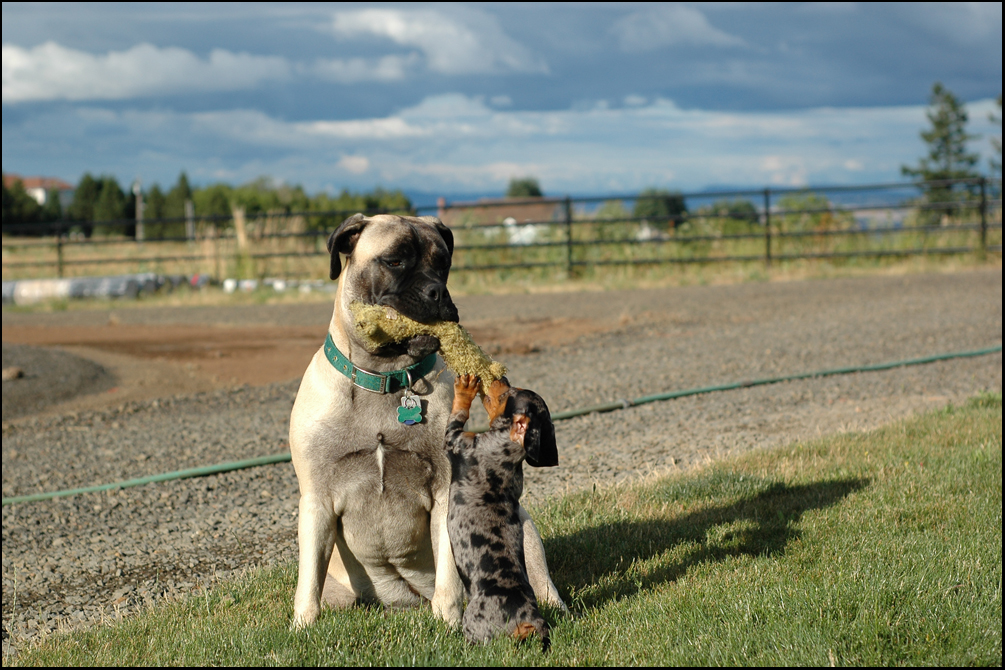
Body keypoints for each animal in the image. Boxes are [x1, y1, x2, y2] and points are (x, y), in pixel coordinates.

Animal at [446, 371, 558, 650]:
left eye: (508, 393)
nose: (503, 377)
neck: (508, 449)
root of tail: (528, 619)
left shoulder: (455, 440)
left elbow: (458, 413)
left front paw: (464, 388)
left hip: (472, 621)